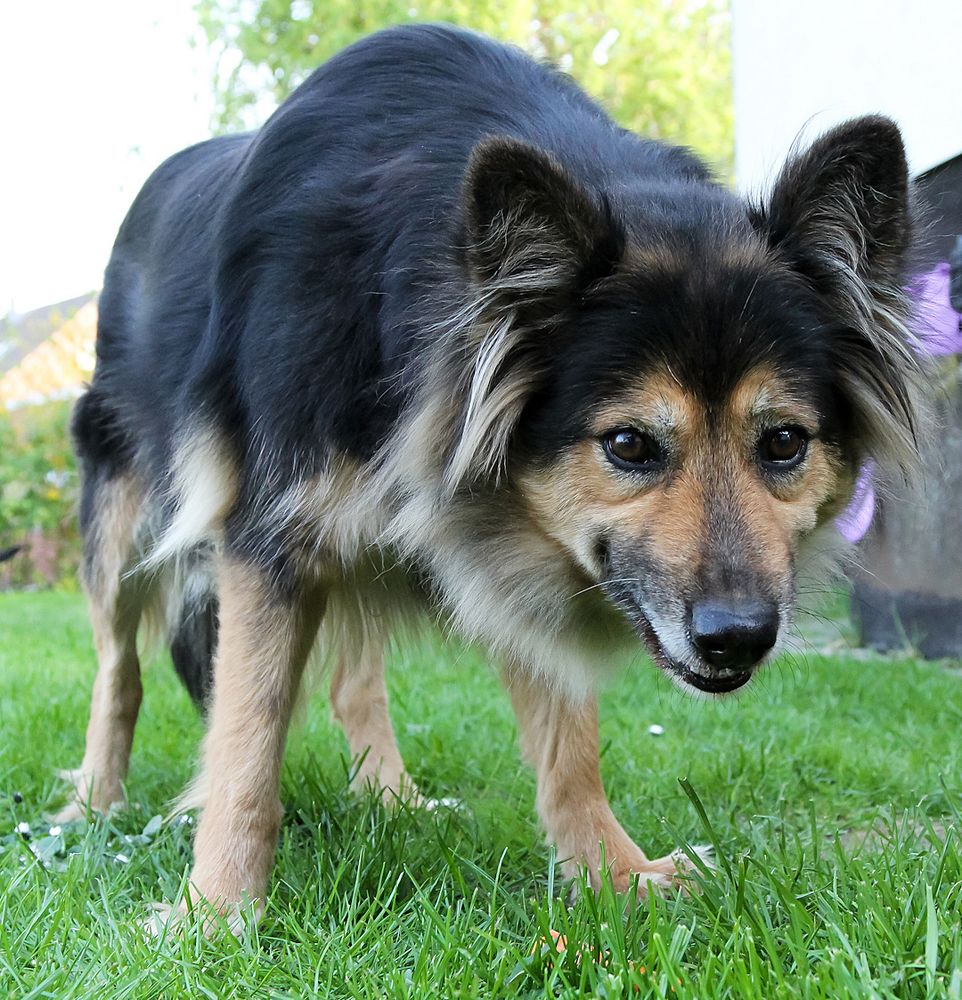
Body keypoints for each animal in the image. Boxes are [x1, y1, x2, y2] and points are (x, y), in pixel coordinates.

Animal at [60, 23, 924, 924]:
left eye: (784, 442)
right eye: (629, 445)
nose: (740, 638)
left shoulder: (521, 538)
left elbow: (568, 742)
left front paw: (615, 876)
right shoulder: (271, 536)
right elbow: (245, 740)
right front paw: (216, 914)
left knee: (353, 681)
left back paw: (391, 797)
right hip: (121, 512)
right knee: (119, 670)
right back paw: (94, 801)